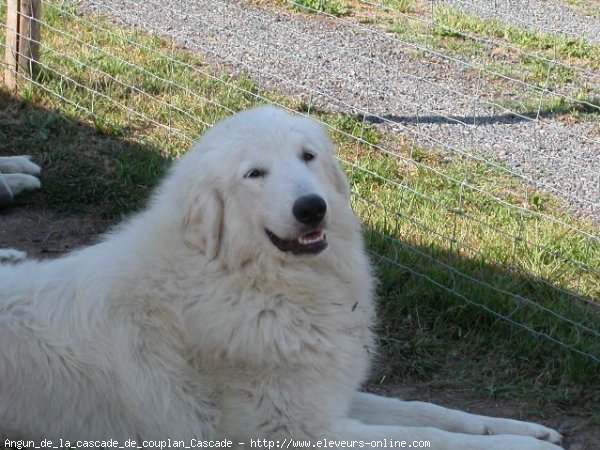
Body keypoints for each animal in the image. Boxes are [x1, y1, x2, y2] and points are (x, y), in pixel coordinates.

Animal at [0, 107, 564, 448]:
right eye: (254, 174)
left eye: (307, 157)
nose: (312, 208)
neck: (253, 285)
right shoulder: (304, 430)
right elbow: (433, 439)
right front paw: (514, 445)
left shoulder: (328, 393)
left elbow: (430, 412)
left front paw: (524, 430)